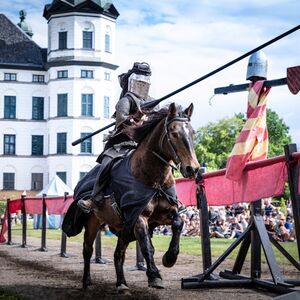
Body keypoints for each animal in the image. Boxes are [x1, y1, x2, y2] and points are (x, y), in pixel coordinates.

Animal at [79, 102, 199, 292]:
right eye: (173, 133)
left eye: (192, 133)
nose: (192, 169)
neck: (153, 180)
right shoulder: (138, 218)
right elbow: (146, 247)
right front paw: (154, 276)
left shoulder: (162, 216)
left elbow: (179, 223)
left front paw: (169, 258)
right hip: (93, 223)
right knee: (87, 250)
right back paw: (86, 282)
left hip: (123, 230)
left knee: (118, 254)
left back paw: (121, 283)